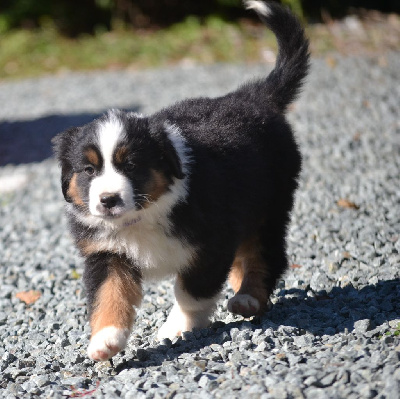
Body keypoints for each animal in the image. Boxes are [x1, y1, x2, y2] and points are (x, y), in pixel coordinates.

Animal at [53, 0, 310, 362]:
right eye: (89, 170)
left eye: (131, 165)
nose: (108, 200)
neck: (142, 216)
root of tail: (253, 97)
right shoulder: (107, 252)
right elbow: (109, 292)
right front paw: (106, 339)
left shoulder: (211, 243)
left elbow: (191, 291)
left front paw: (177, 327)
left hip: (270, 203)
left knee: (265, 252)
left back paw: (249, 298)